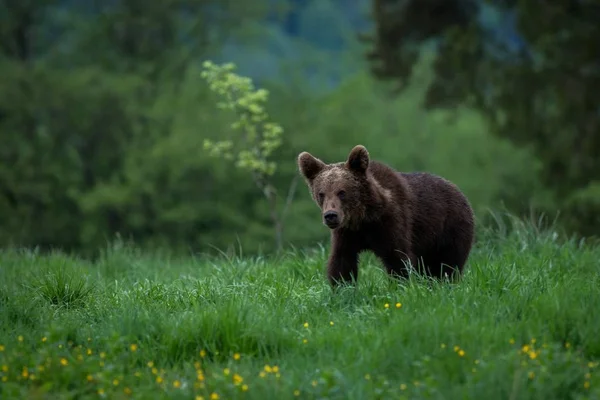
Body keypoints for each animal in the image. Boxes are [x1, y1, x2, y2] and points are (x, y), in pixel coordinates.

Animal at [298, 145, 476, 286]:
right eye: (321, 194)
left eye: (342, 192)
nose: (330, 215)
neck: (364, 218)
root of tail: (458, 190)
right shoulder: (346, 233)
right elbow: (342, 262)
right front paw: (342, 289)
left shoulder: (391, 223)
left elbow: (398, 259)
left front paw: (400, 287)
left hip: (450, 228)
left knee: (448, 264)